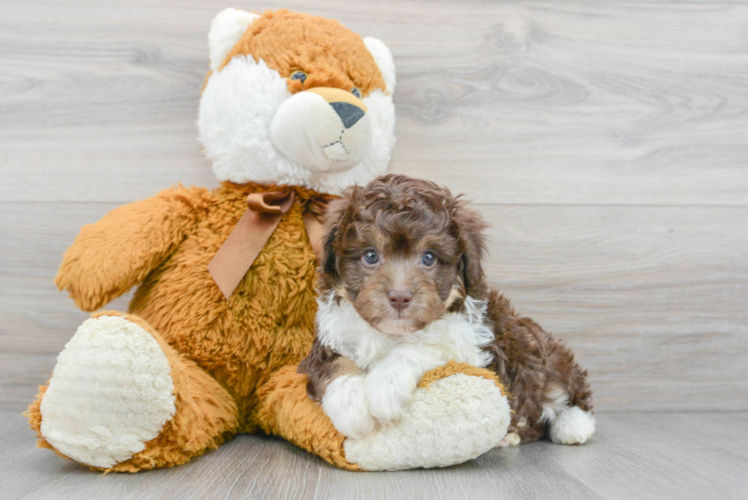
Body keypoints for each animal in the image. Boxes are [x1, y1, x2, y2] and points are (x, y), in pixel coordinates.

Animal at [298, 175, 596, 446]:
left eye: (429, 257)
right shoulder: (327, 340)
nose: (399, 296)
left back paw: (573, 425)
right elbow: (337, 365)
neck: (392, 332)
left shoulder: (474, 346)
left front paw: (385, 386)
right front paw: (351, 407)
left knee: (572, 388)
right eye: (370, 255)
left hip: (546, 352)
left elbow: (421, 346)